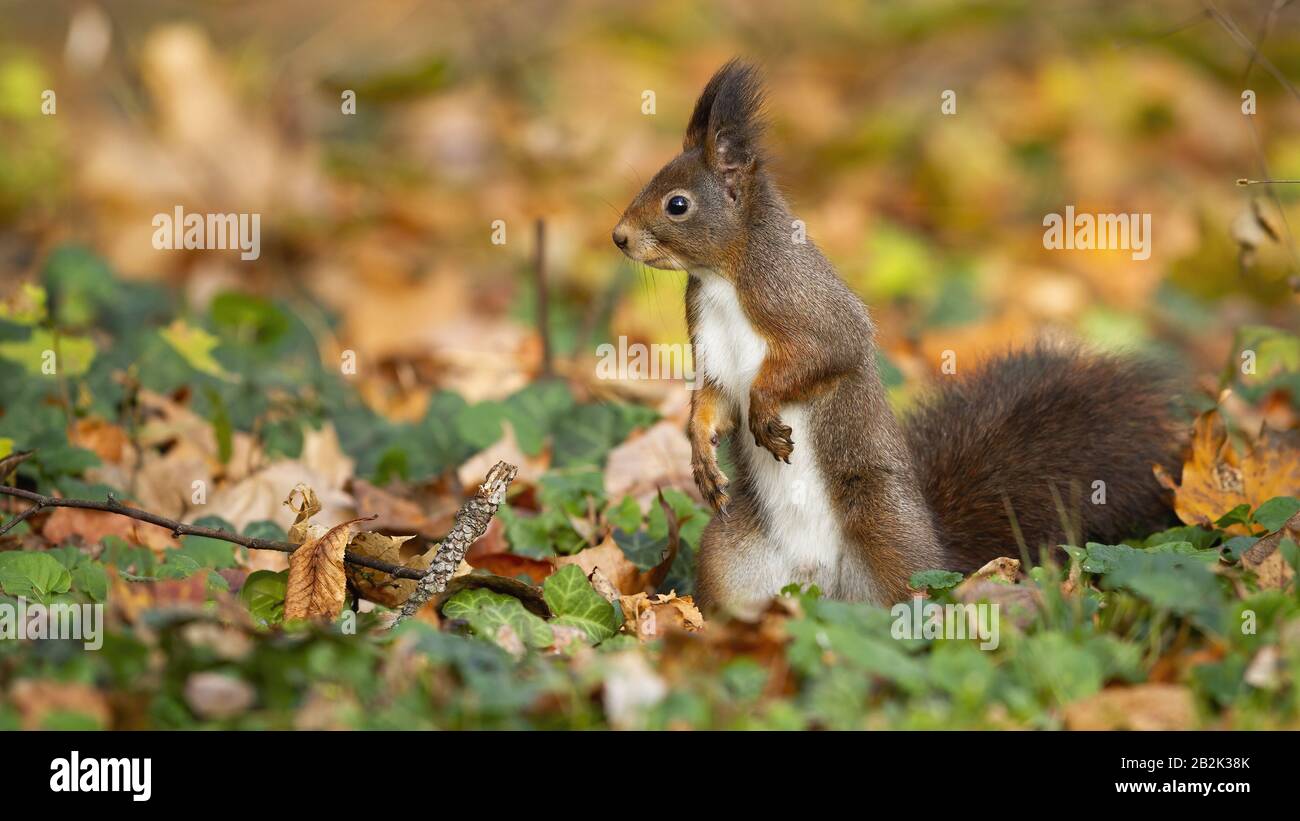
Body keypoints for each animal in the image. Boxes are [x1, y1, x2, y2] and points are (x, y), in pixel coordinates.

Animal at [612, 60, 1184, 616]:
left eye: (677, 204)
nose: (618, 237)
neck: (723, 277)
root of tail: (820, 587)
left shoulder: (806, 305)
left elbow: (825, 356)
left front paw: (765, 409)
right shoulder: (708, 340)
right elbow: (713, 401)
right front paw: (701, 454)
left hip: (884, 532)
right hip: (730, 558)